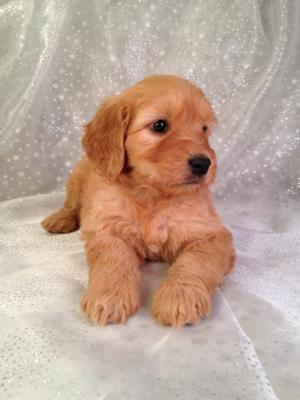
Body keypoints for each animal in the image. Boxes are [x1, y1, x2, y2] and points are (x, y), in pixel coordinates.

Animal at [41, 76, 234, 328]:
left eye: (204, 129)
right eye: (159, 125)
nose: (203, 163)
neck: (153, 195)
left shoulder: (211, 234)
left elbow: (196, 260)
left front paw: (180, 296)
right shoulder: (106, 227)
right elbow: (114, 258)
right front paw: (109, 296)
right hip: (76, 178)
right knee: (71, 205)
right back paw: (59, 220)